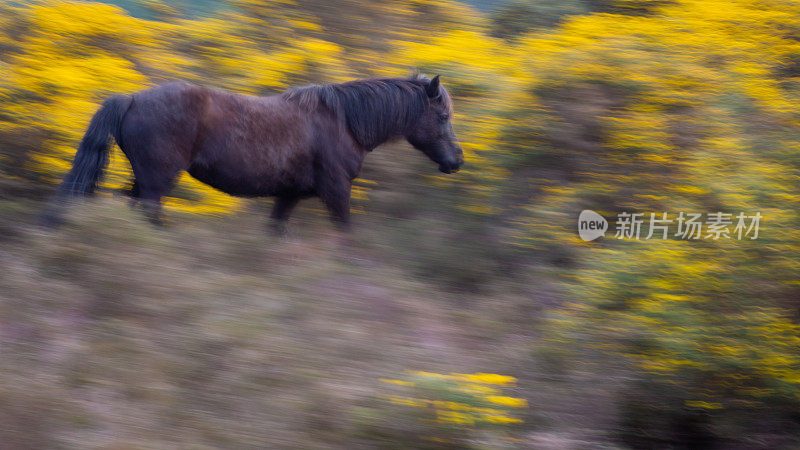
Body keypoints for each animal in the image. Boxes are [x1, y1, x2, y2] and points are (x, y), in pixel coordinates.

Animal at [43, 75, 466, 230]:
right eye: (442, 116)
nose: (456, 160)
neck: (344, 122)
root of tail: (131, 98)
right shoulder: (336, 191)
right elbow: (344, 235)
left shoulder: (289, 196)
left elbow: (275, 231)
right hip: (156, 182)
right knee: (148, 213)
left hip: (144, 180)